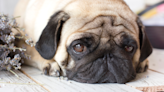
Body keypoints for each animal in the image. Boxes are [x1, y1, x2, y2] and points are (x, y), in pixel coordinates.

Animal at [14, 0, 152, 83]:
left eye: (129, 48)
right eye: (79, 47)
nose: (107, 55)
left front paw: (142, 61)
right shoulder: (22, 44)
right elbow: (33, 51)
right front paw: (50, 62)